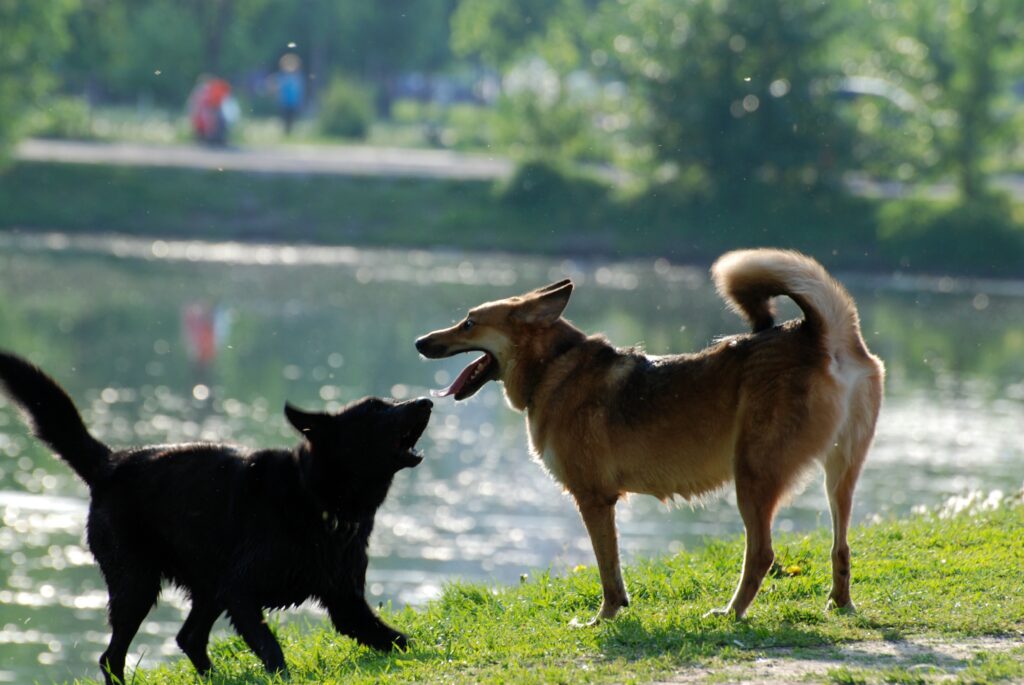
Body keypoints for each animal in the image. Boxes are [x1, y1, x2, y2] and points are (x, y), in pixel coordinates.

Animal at [0, 350, 432, 679]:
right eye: (376, 409)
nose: (426, 401)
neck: (318, 499)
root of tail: (112, 463)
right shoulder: (240, 591)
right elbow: (270, 647)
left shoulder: (346, 604)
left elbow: (397, 639)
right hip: (138, 585)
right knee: (113, 657)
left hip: (205, 585)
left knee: (187, 638)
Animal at [415, 248, 880, 622]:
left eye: (469, 323)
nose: (420, 342)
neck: (553, 366)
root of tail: (819, 335)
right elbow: (614, 571)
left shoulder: (594, 499)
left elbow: (608, 571)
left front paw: (603, 618)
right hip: (840, 476)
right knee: (841, 546)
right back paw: (839, 603)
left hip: (753, 475)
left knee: (762, 554)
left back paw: (732, 612)